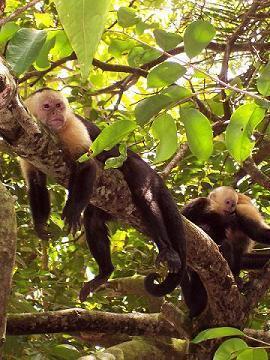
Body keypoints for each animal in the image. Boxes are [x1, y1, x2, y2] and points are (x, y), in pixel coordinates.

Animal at [20, 88, 187, 300]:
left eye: (59, 105)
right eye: (46, 106)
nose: (57, 114)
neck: (53, 133)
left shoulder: (72, 125)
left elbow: (87, 165)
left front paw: (72, 210)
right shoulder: (29, 140)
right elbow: (36, 183)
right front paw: (40, 225)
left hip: (138, 168)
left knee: (143, 194)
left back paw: (167, 249)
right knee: (93, 219)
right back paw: (105, 272)